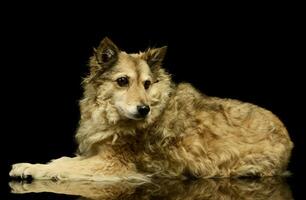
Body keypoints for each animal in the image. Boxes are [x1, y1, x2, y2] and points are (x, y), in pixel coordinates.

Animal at [8, 37, 292, 181]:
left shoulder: (112, 164)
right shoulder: (97, 153)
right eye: (122, 81)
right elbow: (64, 160)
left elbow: (64, 167)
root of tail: (286, 133)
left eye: (146, 83)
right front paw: (28, 165)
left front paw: (34, 169)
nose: (143, 109)